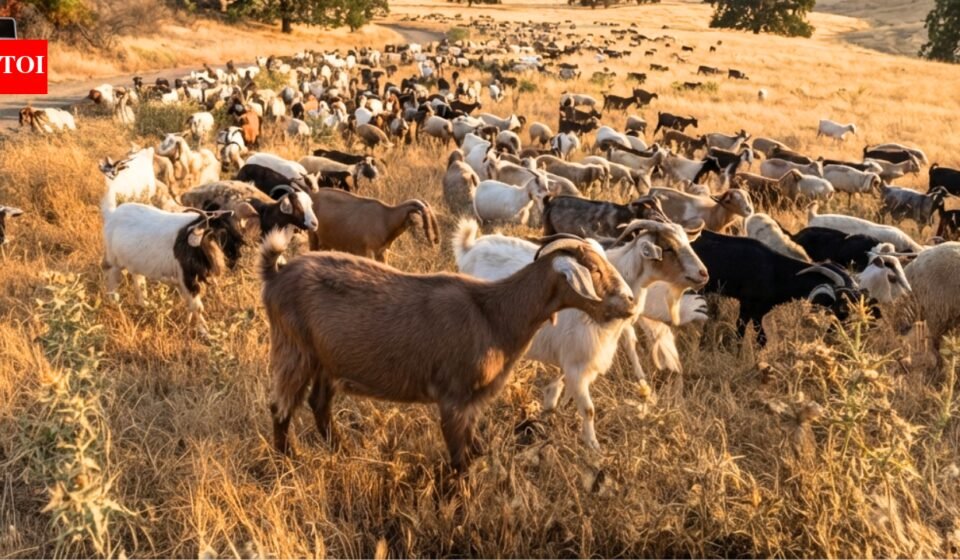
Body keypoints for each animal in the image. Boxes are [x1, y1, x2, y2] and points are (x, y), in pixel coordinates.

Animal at [259, 228, 636, 471]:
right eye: (595, 270)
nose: (630, 302)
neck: (495, 313)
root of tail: (276, 275)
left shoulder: (473, 402)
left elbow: (472, 454)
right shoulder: (454, 399)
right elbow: (459, 461)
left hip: (326, 360)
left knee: (319, 403)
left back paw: (342, 450)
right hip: (294, 349)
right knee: (280, 406)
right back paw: (287, 461)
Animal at [307, 189, 439, 262]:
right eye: (419, 222)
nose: (432, 242)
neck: (386, 219)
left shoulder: (382, 253)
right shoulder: (367, 252)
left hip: (326, 243)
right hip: (313, 236)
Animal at [455, 218, 706, 449]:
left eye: (687, 242)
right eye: (669, 248)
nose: (703, 274)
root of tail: (470, 247)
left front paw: (554, 407)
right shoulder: (579, 355)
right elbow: (588, 407)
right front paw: (593, 447)